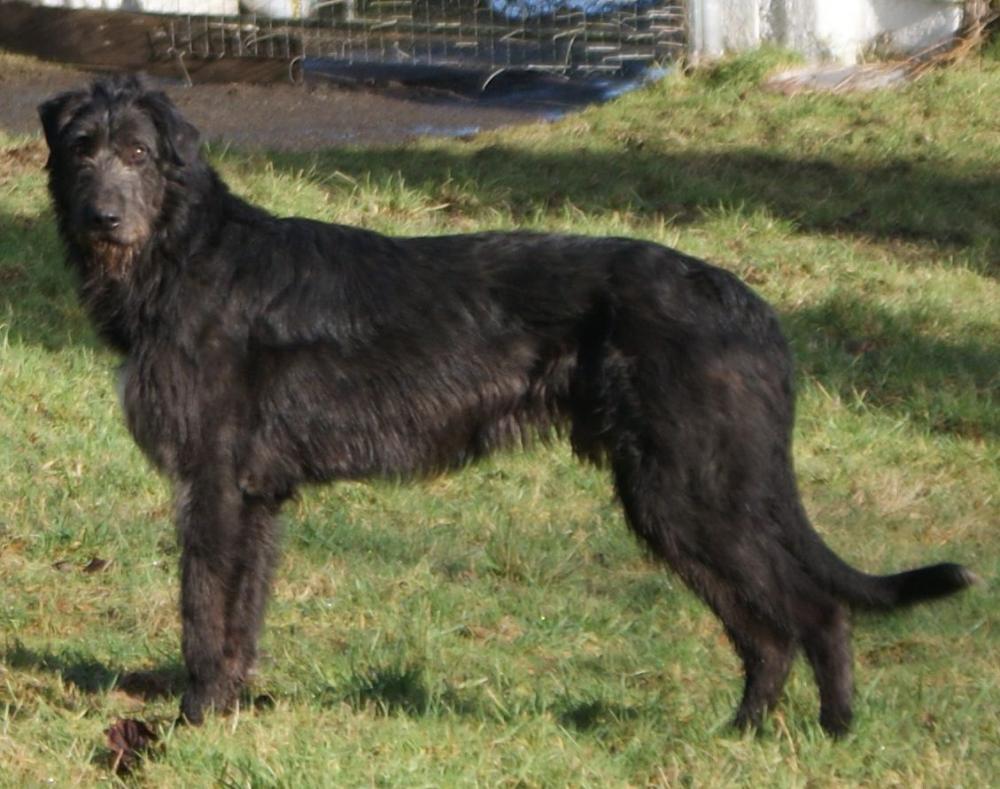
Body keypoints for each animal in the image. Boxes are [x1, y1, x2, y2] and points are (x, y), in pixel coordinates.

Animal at [41, 75, 976, 732]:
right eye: (83, 147)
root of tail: (752, 307)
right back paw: (742, 733)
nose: (103, 218)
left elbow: (202, 607)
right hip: (683, 498)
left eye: (138, 154)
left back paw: (832, 731)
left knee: (813, 610)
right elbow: (241, 613)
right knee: (768, 630)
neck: (182, 252)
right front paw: (232, 706)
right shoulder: (258, 497)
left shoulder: (213, 484)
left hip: (695, 489)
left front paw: (194, 719)